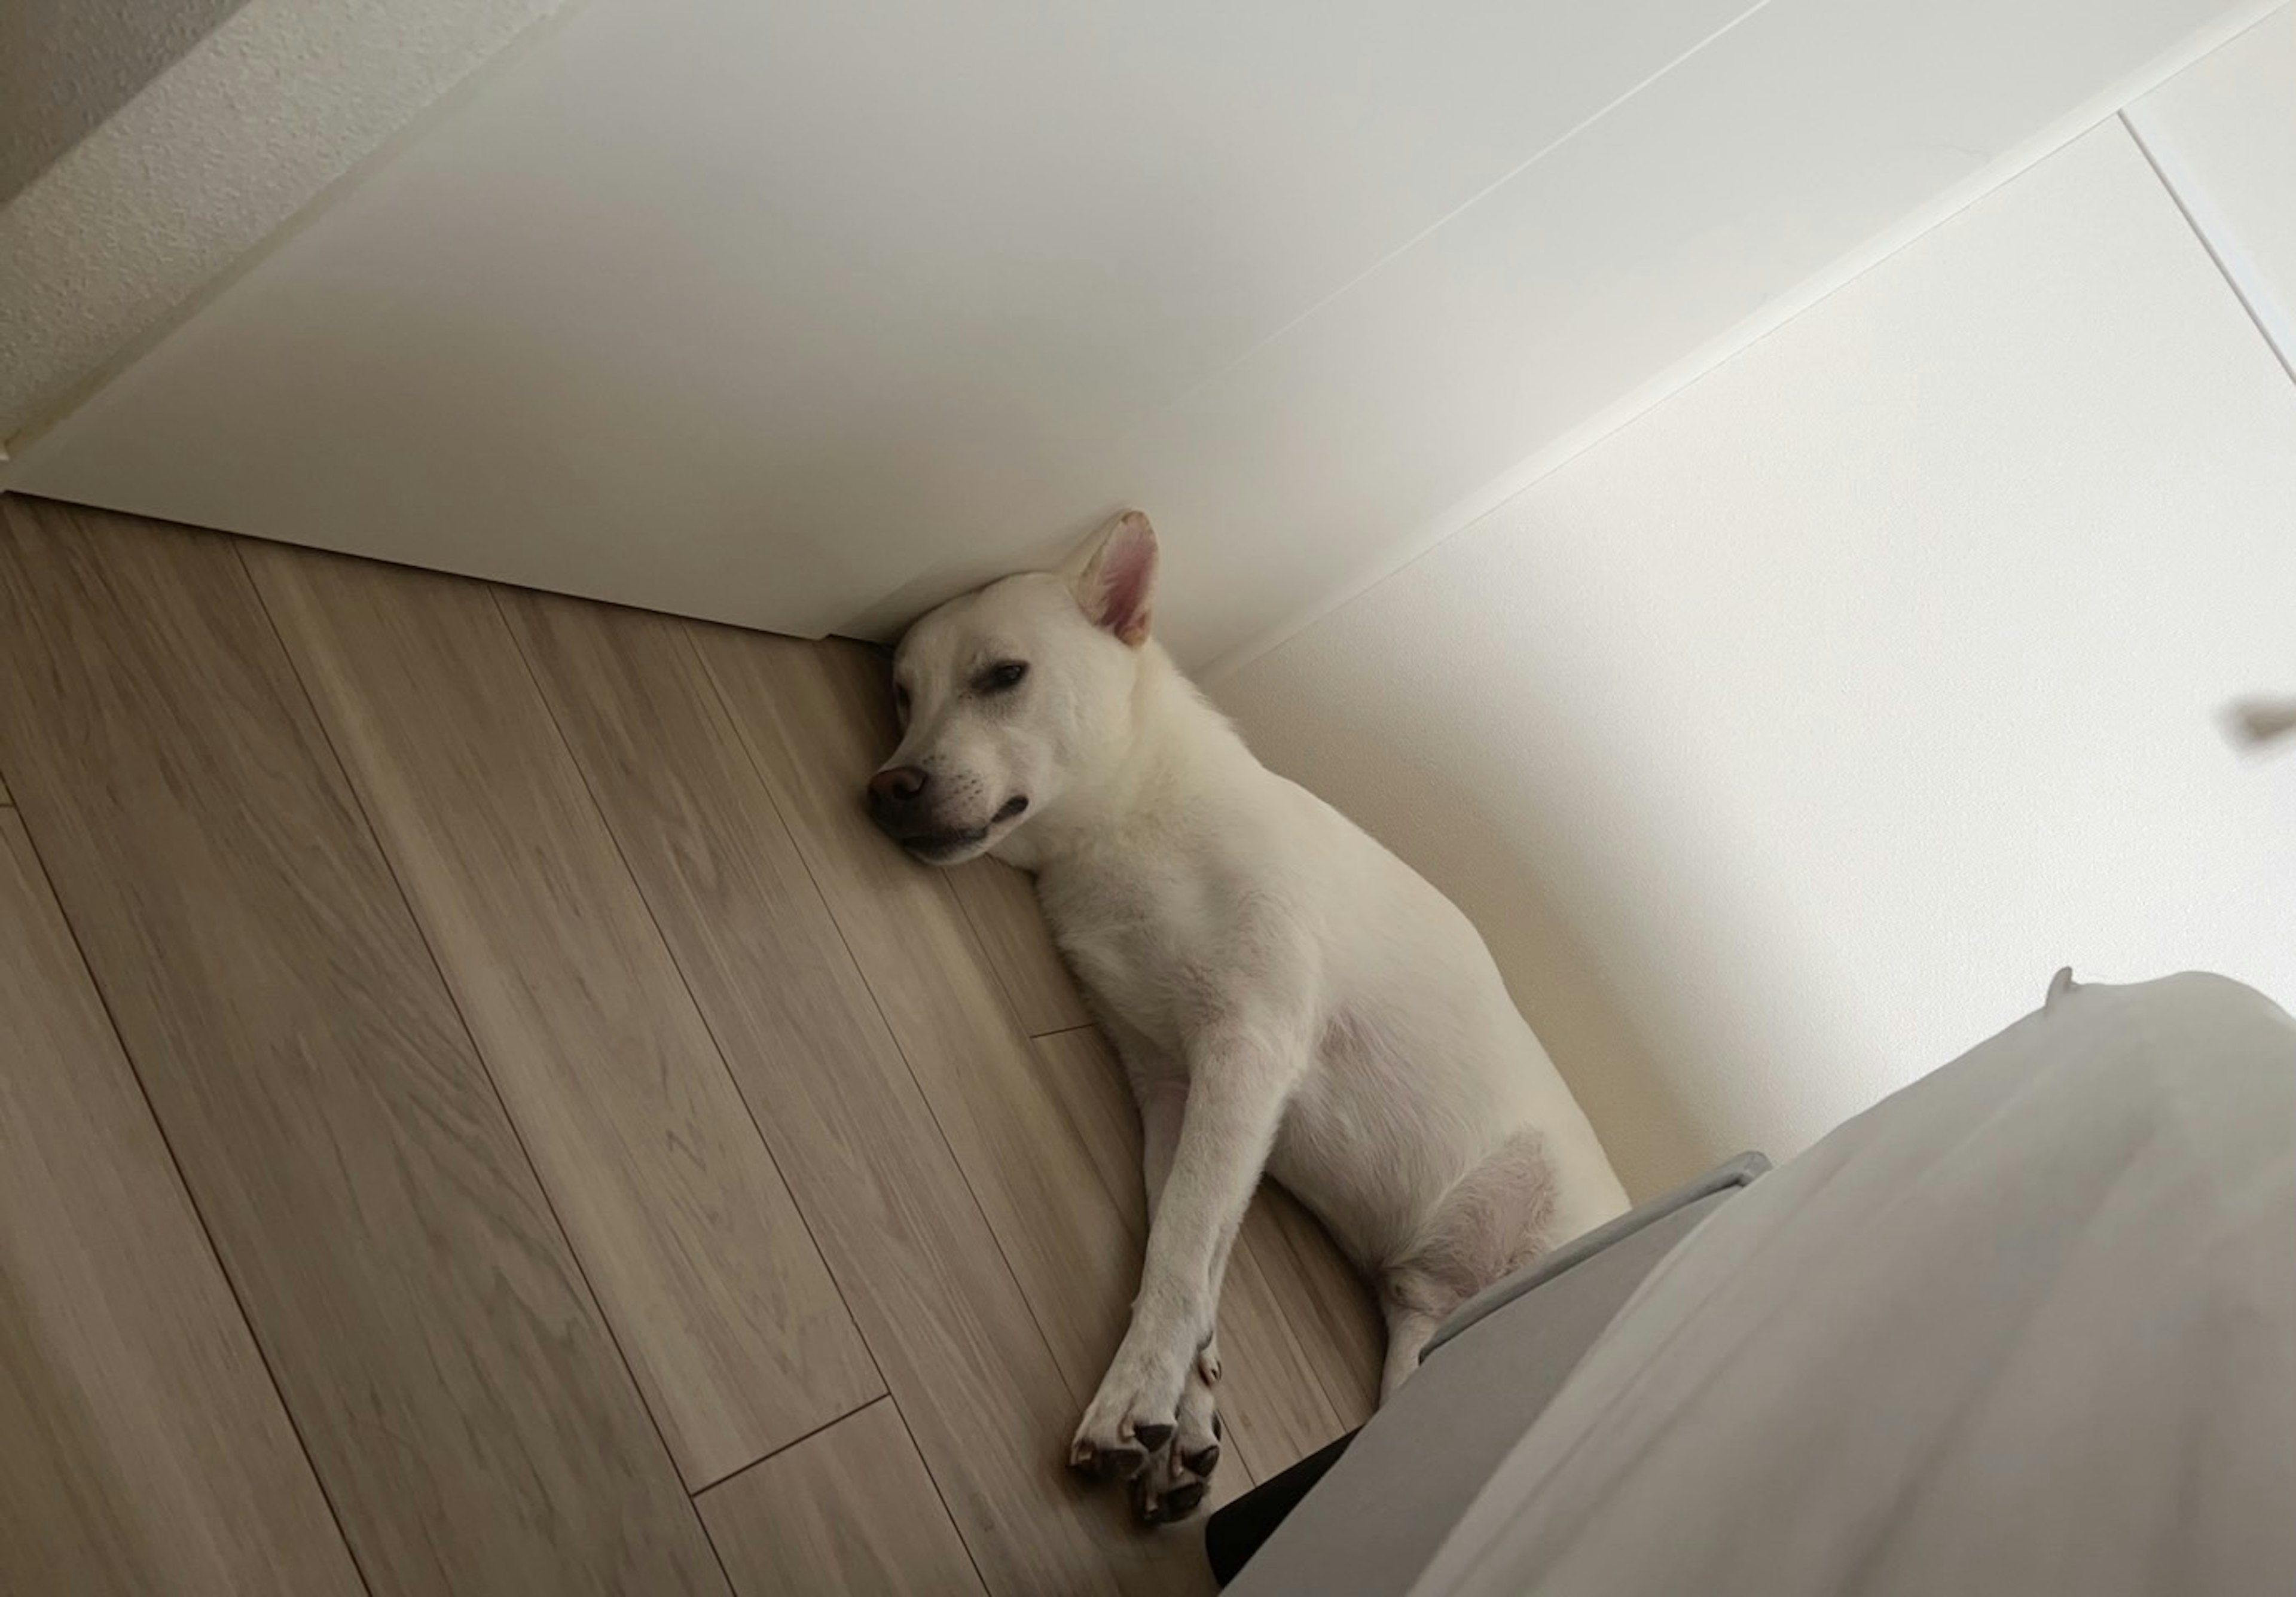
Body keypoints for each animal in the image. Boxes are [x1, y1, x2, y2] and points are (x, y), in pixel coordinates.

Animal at [863, 514, 1635, 1523]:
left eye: (1003, 675)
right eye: (903, 693)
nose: (885, 788)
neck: (1130, 823)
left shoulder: (1248, 1049)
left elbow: (1182, 1242)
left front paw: (1132, 1397)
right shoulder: (1171, 1082)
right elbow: (1189, 1244)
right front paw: (1182, 1413)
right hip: (1421, 1347)